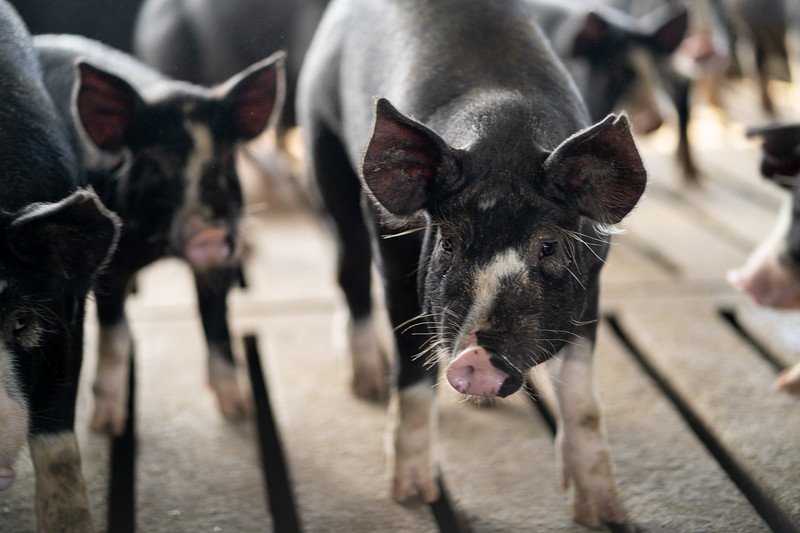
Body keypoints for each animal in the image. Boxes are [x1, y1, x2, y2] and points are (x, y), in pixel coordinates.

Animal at [33, 34, 285, 435]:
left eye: (224, 160)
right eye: (154, 164)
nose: (210, 235)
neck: (163, 249)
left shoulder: (219, 265)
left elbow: (217, 326)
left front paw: (238, 410)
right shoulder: (109, 265)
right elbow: (116, 336)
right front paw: (106, 425)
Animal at [297, 0, 648, 526]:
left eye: (548, 246)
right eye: (448, 242)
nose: (478, 356)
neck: (504, 136)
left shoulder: (592, 281)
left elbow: (582, 401)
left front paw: (605, 515)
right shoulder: (398, 262)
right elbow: (413, 379)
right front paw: (411, 495)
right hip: (324, 142)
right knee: (349, 271)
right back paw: (367, 385)